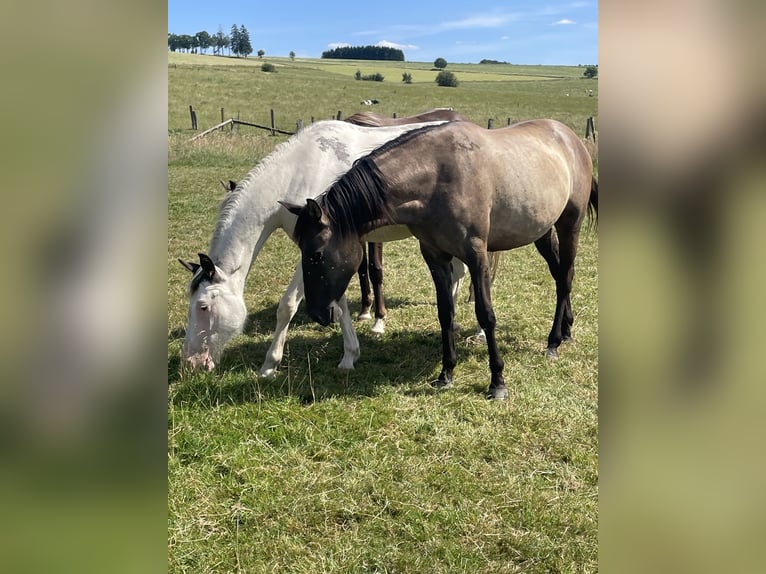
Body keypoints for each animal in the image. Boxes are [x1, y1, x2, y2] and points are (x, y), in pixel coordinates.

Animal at [178, 119, 456, 377]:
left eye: (203, 306)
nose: (191, 363)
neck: (297, 174)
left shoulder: (313, 256)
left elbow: (287, 306)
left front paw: (269, 365)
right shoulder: (328, 260)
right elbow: (339, 304)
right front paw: (350, 355)